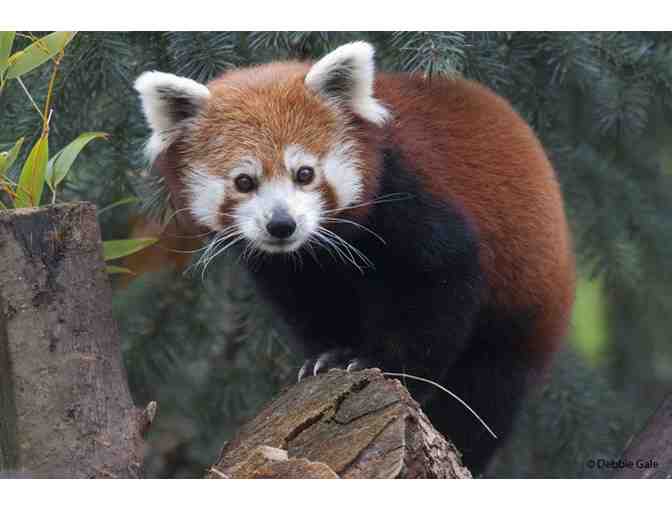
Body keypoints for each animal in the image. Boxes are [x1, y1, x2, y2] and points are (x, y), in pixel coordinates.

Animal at [134, 39, 576, 474]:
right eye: (244, 182)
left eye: (304, 174)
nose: (281, 225)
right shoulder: (288, 270)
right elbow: (313, 307)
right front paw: (330, 356)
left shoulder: (408, 199)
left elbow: (440, 286)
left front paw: (382, 364)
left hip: (521, 303)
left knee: (486, 391)